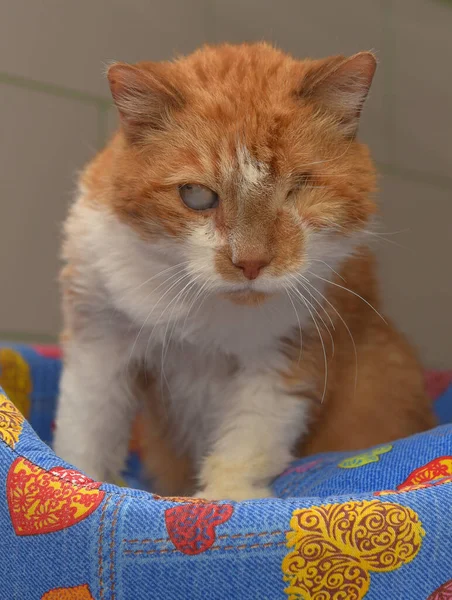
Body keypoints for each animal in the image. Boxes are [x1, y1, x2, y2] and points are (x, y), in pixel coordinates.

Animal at [53, 43, 434, 502]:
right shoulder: (98, 338)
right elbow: (86, 430)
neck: (204, 311)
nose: (250, 262)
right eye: (196, 195)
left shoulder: (288, 353)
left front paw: (223, 500)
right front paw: (78, 487)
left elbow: (248, 439)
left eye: (298, 188)